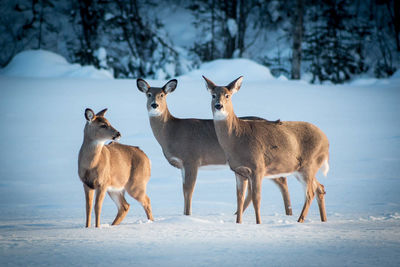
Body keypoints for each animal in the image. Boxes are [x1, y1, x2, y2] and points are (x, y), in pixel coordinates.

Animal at [136, 78, 292, 217]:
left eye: (162, 95)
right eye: (148, 94)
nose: (154, 105)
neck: (172, 131)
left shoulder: (192, 158)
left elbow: (188, 190)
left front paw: (187, 215)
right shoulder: (182, 165)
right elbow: (183, 190)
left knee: (282, 180)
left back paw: (288, 213)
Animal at [203, 76, 332, 225]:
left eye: (227, 96)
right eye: (213, 95)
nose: (219, 106)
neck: (237, 138)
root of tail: (326, 140)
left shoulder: (258, 167)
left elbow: (256, 199)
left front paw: (259, 224)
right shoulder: (239, 171)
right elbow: (239, 199)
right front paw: (238, 223)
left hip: (310, 164)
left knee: (310, 193)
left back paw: (299, 221)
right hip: (301, 169)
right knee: (320, 188)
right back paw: (323, 220)